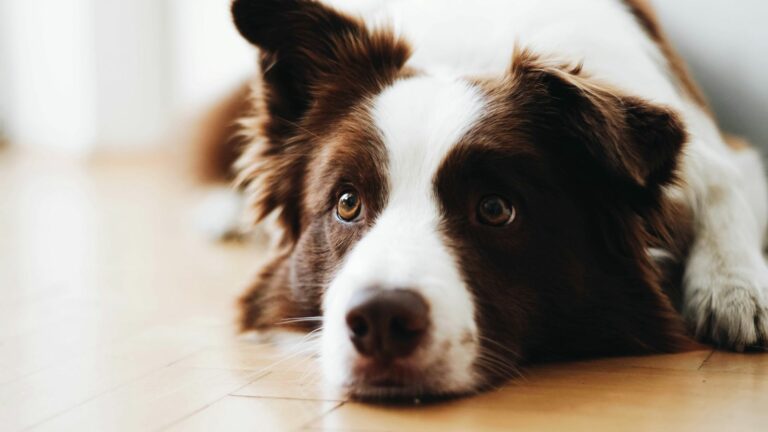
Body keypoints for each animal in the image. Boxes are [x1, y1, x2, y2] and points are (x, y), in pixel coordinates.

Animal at [207, 0, 768, 398]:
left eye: (495, 209)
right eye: (347, 203)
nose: (382, 320)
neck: (467, 58)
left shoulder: (723, 152)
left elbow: (726, 186)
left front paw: (735, 287)